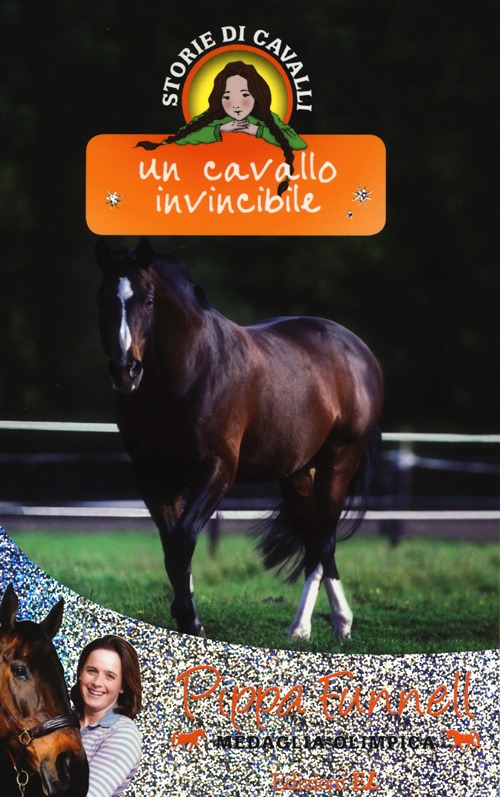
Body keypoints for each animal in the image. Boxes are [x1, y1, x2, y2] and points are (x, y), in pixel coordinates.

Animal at [96, 237, 384, 641]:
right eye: (103, 299)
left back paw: (306, 627)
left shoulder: (217, 470)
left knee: (323, 539)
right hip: (297, 473)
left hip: (339, 461)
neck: (188, 373)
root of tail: (359, 350)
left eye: (149, 300)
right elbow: (171, 546)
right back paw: (336, 624)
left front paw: (191, 621)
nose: (125, 370)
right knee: (315, 540)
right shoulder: (154, 477)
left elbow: (183, 540)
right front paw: (185, 616)